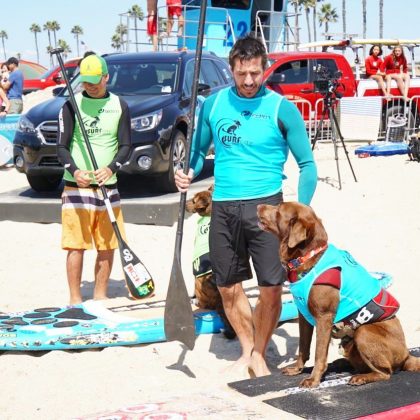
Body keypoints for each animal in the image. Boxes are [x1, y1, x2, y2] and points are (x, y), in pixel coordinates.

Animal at [258, 200, 418, 388]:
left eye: (278, 209)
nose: (258, 206)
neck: (308, 257)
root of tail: (407, 355)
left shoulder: (324, 317)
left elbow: (319, 353)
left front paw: (313, 379)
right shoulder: (304, 316)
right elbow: (303, 347)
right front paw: (297, 369)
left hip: (364, 332)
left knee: (385, 372)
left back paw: (361, 377)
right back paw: (342, 364)